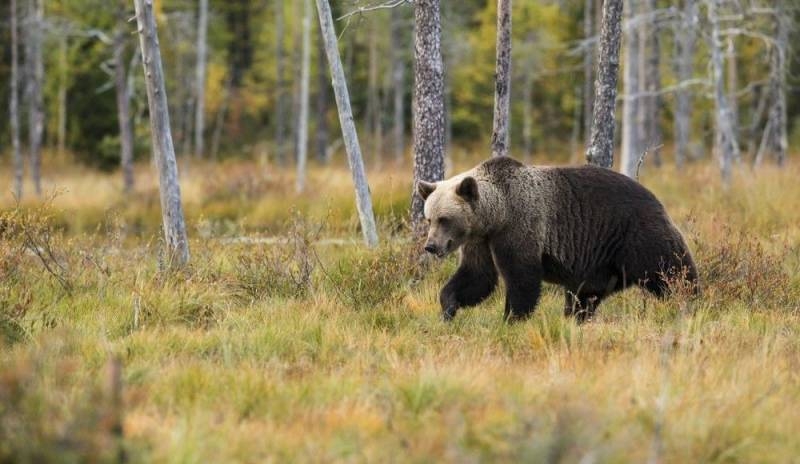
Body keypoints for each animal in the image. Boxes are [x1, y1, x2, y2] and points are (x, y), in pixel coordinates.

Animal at [416, 156, 696, 322]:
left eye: (444, 219)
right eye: (429, 218)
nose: (431, 246)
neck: (496, 215)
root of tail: (656, 198)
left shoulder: (520, 227)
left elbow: (522, 279)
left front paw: (511, 319)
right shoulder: (481, 241)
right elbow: (477, 277)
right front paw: (448, 308)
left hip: (636, 235)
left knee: (670, 270)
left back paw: (690, 301)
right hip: (599, 263)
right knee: (583, 295)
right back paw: (576, 318)